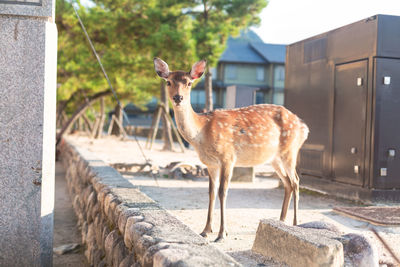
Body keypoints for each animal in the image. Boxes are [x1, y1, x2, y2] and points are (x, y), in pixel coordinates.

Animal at [153, 57, 310, 243]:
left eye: (189, 83)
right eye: (168, 82)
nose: (178, 97)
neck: (202, 133)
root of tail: (304, 127)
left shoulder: (228, 158)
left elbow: (223, 192)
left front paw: (222, 234)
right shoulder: (210, 164)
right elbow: (211, 192)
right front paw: (205, 230)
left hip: (290, 151)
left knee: (296, 181)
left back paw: (295, 223)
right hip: (274, 158)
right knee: (287, 183)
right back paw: (281, 221)